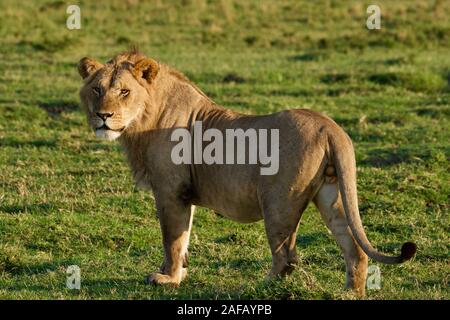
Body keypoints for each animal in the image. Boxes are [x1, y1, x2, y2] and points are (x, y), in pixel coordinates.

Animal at [76, 50, 414, 298]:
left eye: (124, 91)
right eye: (96, 89)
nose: (102, 116)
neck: (145, 119)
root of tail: (329, 126)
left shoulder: (171, 191)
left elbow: (171, 238)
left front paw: (167, 278)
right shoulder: (184, 195)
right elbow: (183, 238)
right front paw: (178, 273)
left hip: (279, 202)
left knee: (287, 256)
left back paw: (261, 287)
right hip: (332, 194)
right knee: (354, 248)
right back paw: (349, 293)